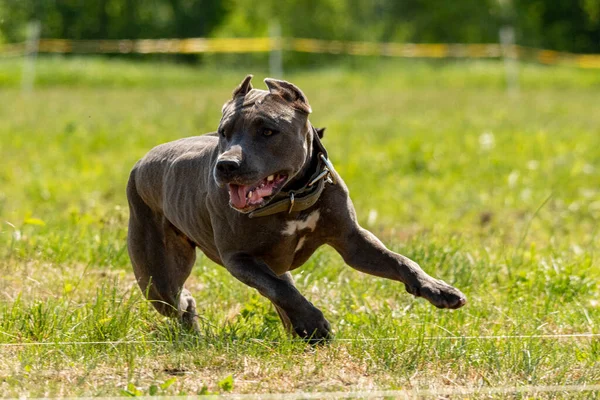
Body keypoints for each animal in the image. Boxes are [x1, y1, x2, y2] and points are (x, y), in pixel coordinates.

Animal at [125, 76, 464, 344]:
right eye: (223, 132)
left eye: (267, 131)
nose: (226, 165)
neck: (290, 197)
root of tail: (142, 162)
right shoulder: (240, 259)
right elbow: (281, 291)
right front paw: (315, 324)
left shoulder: (353, 242)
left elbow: (401, 261)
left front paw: (439, 289)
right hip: (158, 279)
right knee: (182, 299)